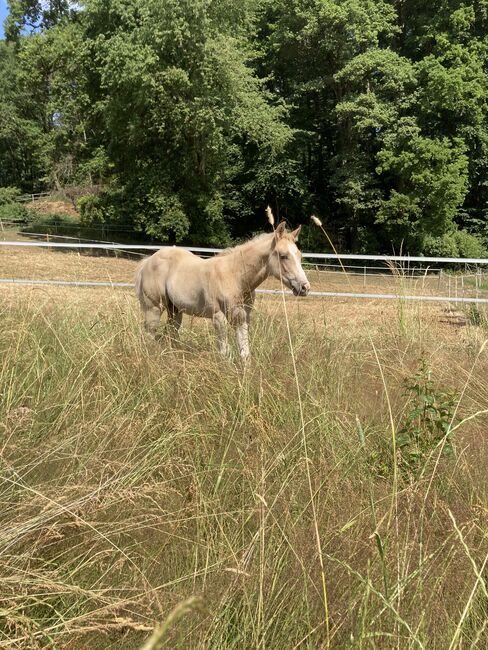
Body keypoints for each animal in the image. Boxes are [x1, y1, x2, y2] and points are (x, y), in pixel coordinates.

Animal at [133, 219, 308, 360]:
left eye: (299, 255)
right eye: (283, 256)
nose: (305, 287)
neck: (235, 276)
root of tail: (148, 261)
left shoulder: (242, 318)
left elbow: (244, 353)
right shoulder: (218, 317)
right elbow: (224, 353)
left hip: (175, 311)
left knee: (169, 336)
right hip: (154, 308)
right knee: (150, 335)